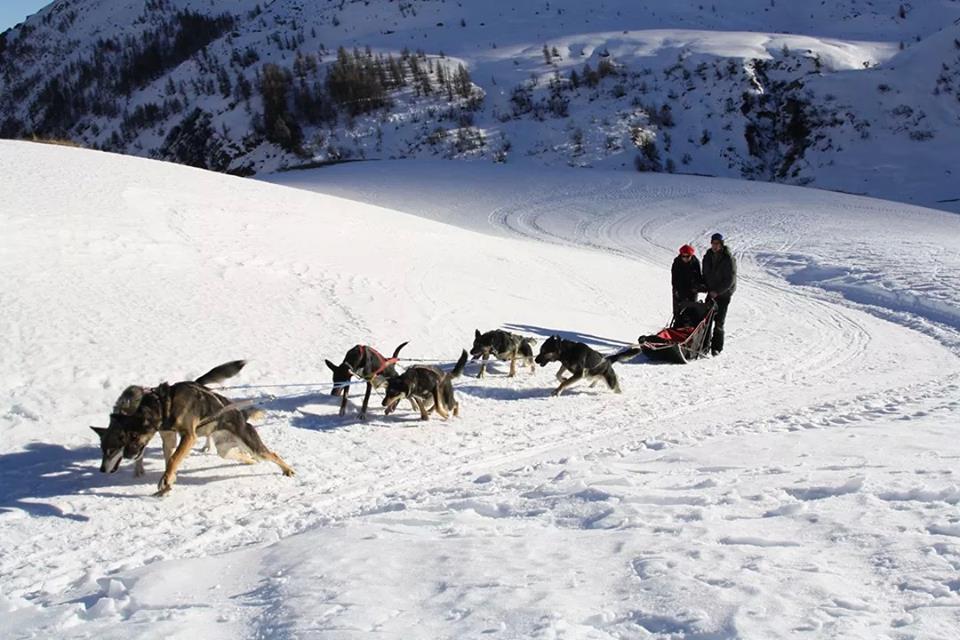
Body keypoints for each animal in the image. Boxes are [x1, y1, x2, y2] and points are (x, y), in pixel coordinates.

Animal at [91, 360, 292, 496]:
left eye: (134, 436)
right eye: (124, 438)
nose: (128, 456)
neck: (164, 404)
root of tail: (240, 414)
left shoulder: (188, 436)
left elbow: (173, 459)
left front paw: (166, 479)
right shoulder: (169, 438)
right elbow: (170, 460)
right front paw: (167, 482)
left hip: (250, 444)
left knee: (272, 454)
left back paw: (288, 470)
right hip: (225, 449)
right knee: (239, 455)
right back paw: (249, 460)